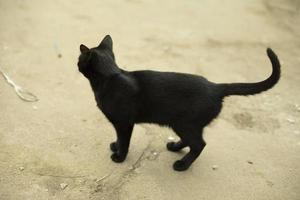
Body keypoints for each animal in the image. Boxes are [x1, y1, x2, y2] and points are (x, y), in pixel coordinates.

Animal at [77, 35, 282, 171]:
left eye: (79, 59)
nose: (76, 62)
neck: (110, 77)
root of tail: (216, 87)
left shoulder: (124, 123)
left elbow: (124, 141)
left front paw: (119, 156)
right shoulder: (121, 124)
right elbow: (119, 139)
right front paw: (115, 146)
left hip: (185, 124)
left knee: (199, 144)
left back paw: (181, 165)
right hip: (185, 124)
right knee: (194, 141)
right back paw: (174, 147)